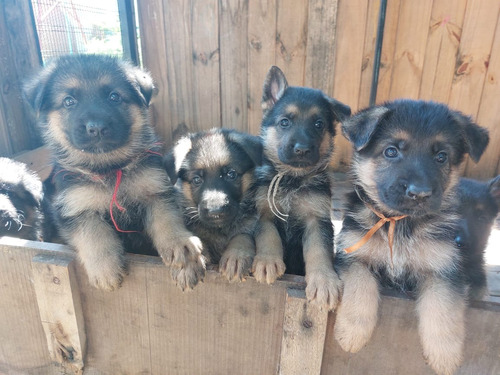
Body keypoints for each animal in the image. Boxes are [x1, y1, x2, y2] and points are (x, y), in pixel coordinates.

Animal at [23, 55, 205, 290]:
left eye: (114, 97)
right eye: (69, 101)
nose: (96, 128)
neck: (109, 168)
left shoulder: (156, 193)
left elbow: (167, 220)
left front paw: (182, 245)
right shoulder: (75, 208)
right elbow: (93, 234)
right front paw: (105, 269)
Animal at [166, 129, 264, 282]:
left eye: (231, 174)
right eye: (196, 180)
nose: (215, 212)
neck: (220, 229)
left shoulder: (249, 224)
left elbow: (241, 235)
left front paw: (236, 256)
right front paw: (188, 263)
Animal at [254, 66, 352, 310]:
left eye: (319, 124)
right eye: (284, 122)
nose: (302, 149)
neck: (292, 179)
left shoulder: (317, 220)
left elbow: (319, 251)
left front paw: (324, 281)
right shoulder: (264, 213)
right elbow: (268, 235)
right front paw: (267, 261)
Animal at [334, 100, 490, 375]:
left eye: (441, 156)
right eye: (391, 151)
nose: (420, 193)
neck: (400, 223)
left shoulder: (444, 270)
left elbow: (443, 308)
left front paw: (444, 355)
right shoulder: (352, 257)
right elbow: (360, 286)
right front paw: (352, 333)